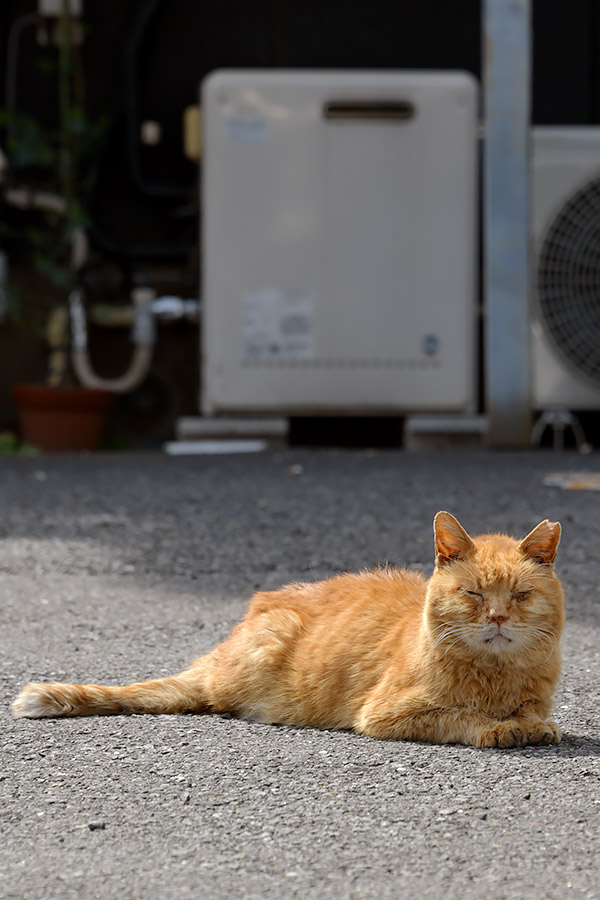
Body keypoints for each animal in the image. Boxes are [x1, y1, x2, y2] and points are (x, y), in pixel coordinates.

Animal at [10, 510, 564, 748]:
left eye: (520, 596)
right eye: (474, 595)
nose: (497, 618)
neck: (494, 675)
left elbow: (533, 714)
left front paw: (529, 724)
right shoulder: (387, 714)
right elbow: (461, 717)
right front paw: (499, 728)